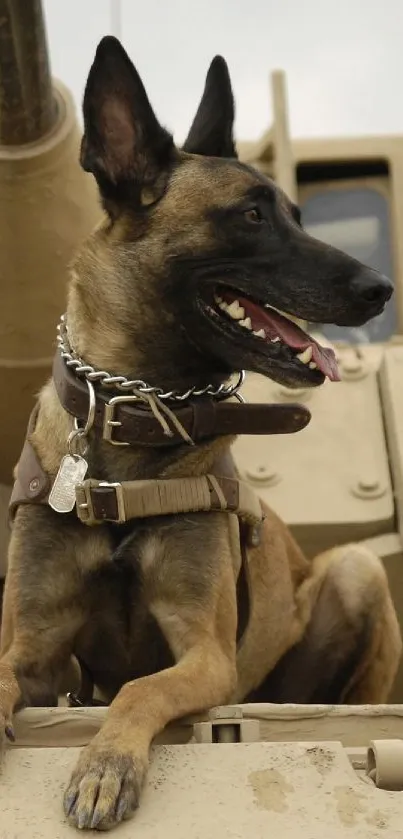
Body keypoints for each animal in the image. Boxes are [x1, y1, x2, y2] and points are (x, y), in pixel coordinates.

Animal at [0, 36, 400, 832]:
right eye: (250, 215)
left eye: (297, 214)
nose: (380, 289)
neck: (130, 428)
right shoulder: (35, 651)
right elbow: (6, 676)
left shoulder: (204, 656)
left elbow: (140, 688)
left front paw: (105, 764)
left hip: (354, 574)